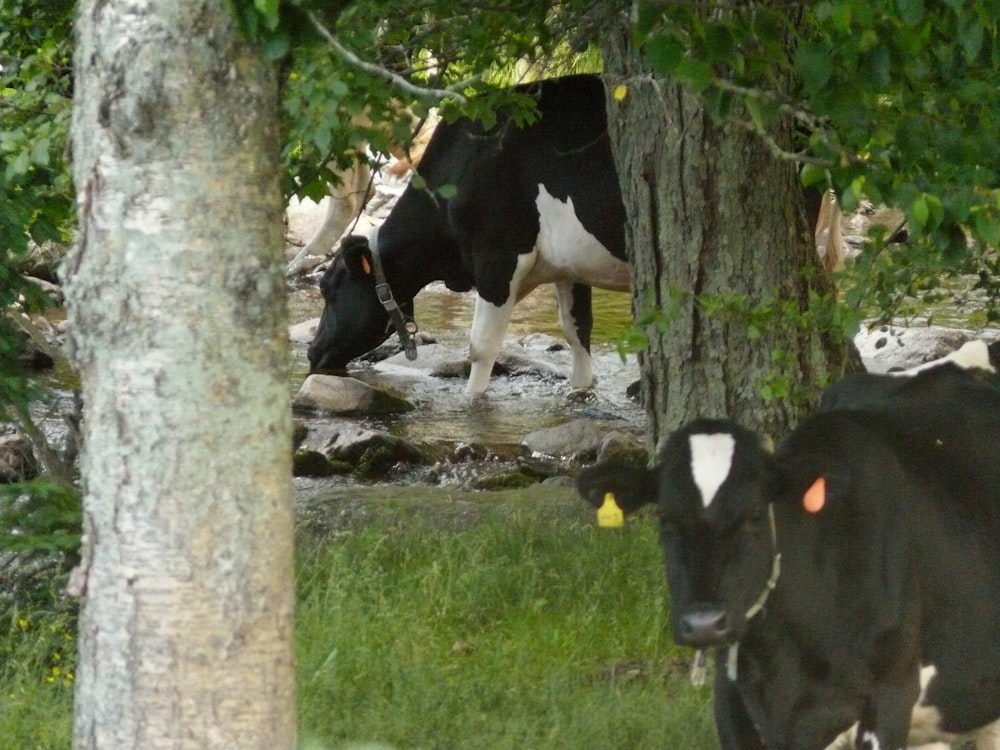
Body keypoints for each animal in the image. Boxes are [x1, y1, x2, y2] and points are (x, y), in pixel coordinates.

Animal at [308, 73, 628, 396]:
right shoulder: (569, 264)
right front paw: (581, 390)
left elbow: (481, 347)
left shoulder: (497, 258)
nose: (311, 351)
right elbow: (577, 330)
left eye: (326, 288)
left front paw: (472, 398)